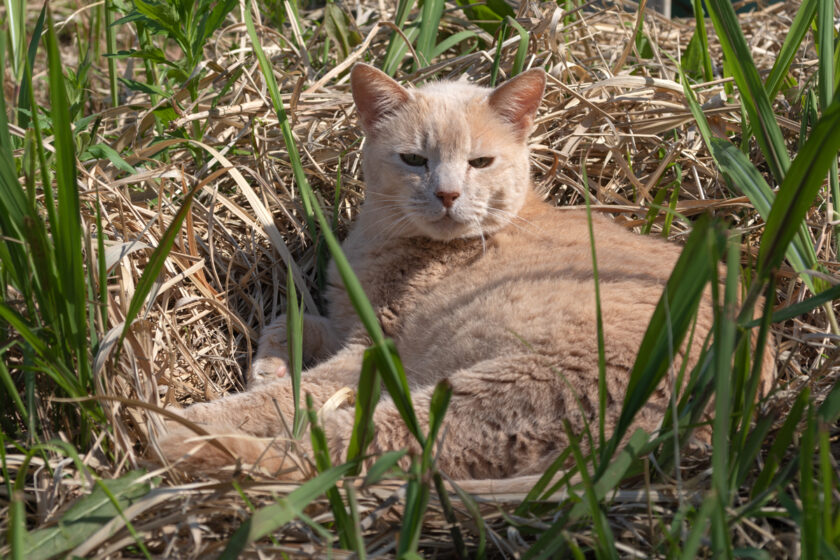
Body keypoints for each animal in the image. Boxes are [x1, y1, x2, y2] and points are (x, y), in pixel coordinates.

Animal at [158, 63, 776, 480]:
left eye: (480, 162)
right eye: (414, 160)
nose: (448, 194)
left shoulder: (371, 353)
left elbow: (284, 396)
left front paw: (237, 400)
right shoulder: (346, 321)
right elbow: (285, 325)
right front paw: (269, 366)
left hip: (477, 394)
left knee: (338, 447)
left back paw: (180, 442)